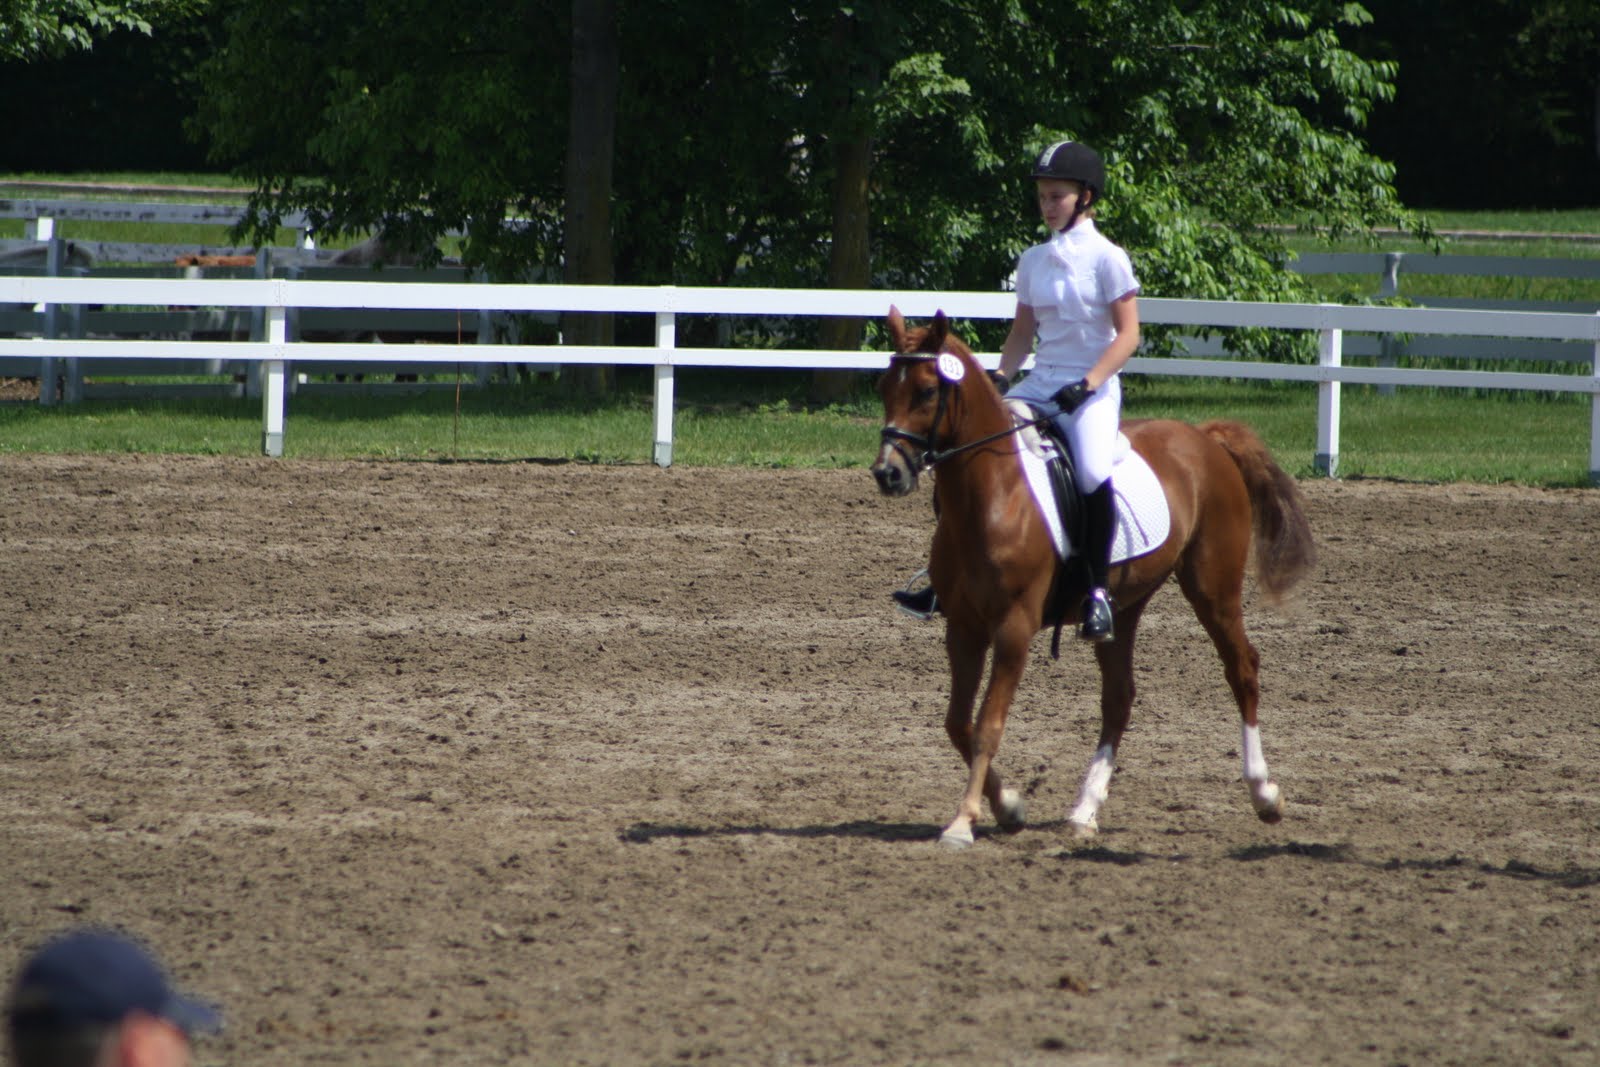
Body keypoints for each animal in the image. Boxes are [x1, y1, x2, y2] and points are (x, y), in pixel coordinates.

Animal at [871, 307, 1316, 848]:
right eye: (884, 387)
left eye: (927, 392)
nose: (887, 473)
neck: (993, 497)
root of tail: (1204, 438)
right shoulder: (964, 627)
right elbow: (959, 723)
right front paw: (1009, 806)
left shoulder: (1014, 628)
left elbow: (987, 725)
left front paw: (963, 822)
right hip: (1123, 606)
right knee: (1119, 697)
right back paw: (1085, 808)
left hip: (1213, 590)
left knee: (1242, 668)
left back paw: (1264, 794)